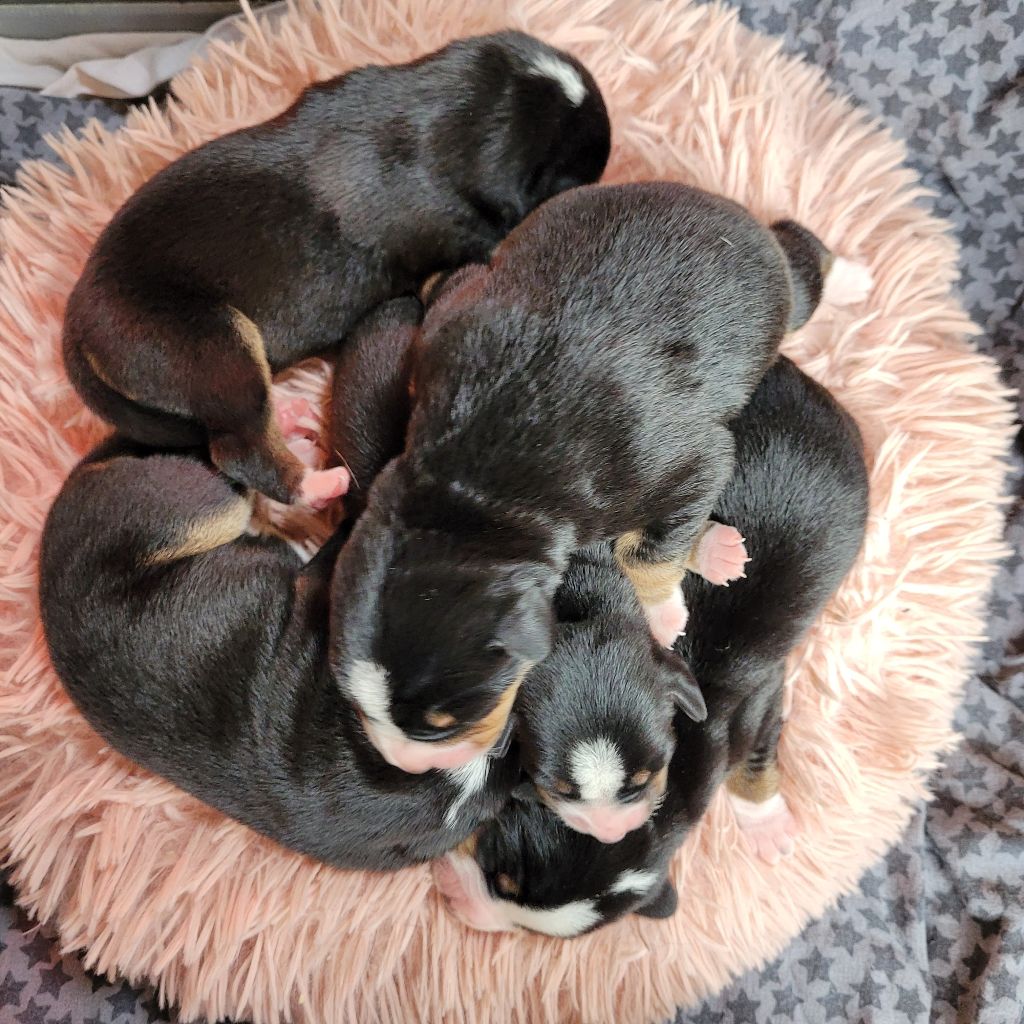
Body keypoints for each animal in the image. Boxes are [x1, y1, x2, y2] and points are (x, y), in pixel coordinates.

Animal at [64, 30, 610, 507]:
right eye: (573, 179)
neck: (442, 113)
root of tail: (75, 321)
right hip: (214, 343)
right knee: (238, 448)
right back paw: (318, 484)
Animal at [327, 184, 839, 774]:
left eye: (444, 723)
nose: (404, 766)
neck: (470, 492)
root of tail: (731, 211)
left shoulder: (685, 460)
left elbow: (649, 548)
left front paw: (662, 614)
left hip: (777, 300)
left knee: (805, 267)